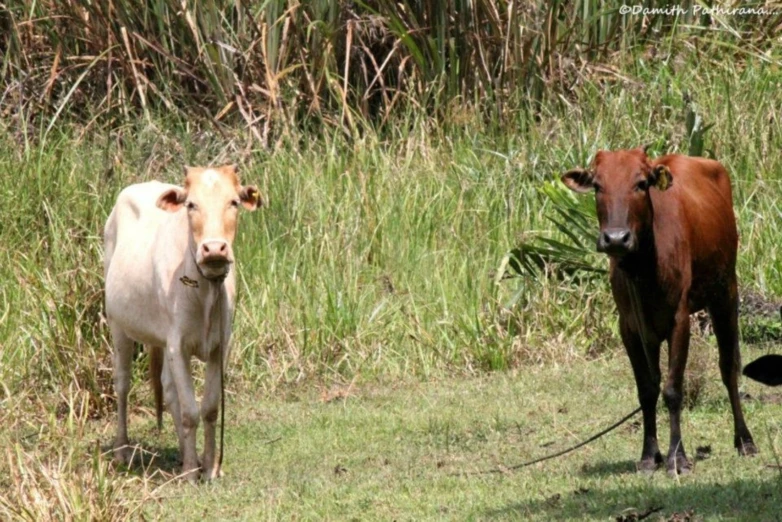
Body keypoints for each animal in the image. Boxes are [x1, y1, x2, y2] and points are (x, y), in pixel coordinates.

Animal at [102, 164, 264, 480]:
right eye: (191, 204)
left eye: (233, 202)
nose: (214, 249)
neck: (206, 290)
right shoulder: (178, 346)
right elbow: (190, 410)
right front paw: (191, 472)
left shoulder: (219, 346)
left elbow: (209, 407)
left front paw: (209, 466)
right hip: (118, 325)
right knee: (122, 384)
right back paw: (122, 450)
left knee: (167, 389)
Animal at [564, 145, 760, 472]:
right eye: (598, 186)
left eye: (641, 184)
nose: (615, 239)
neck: (642, 270)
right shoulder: (630, 328)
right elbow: (647, 389)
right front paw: (648, 455)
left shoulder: (679, 321)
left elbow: (672, 389)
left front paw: (677, 457)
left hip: (725, 294)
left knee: (729, 367)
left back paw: (744, 440)